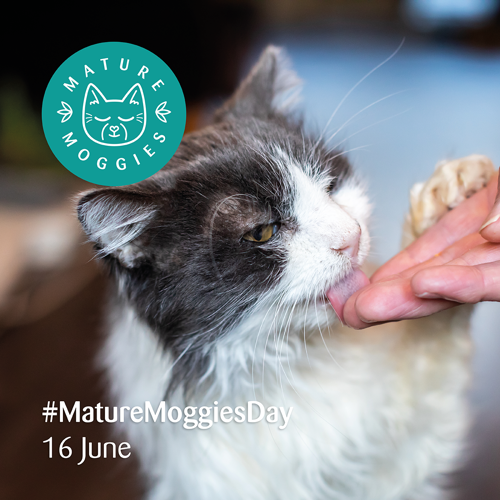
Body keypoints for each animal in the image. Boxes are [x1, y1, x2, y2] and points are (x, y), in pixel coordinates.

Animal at [76, 45, 494, 498]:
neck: (291, 358)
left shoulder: (400, 468)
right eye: (262, 232)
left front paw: (450, 194)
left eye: (331, 186)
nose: (352, 237)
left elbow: (431, 348)